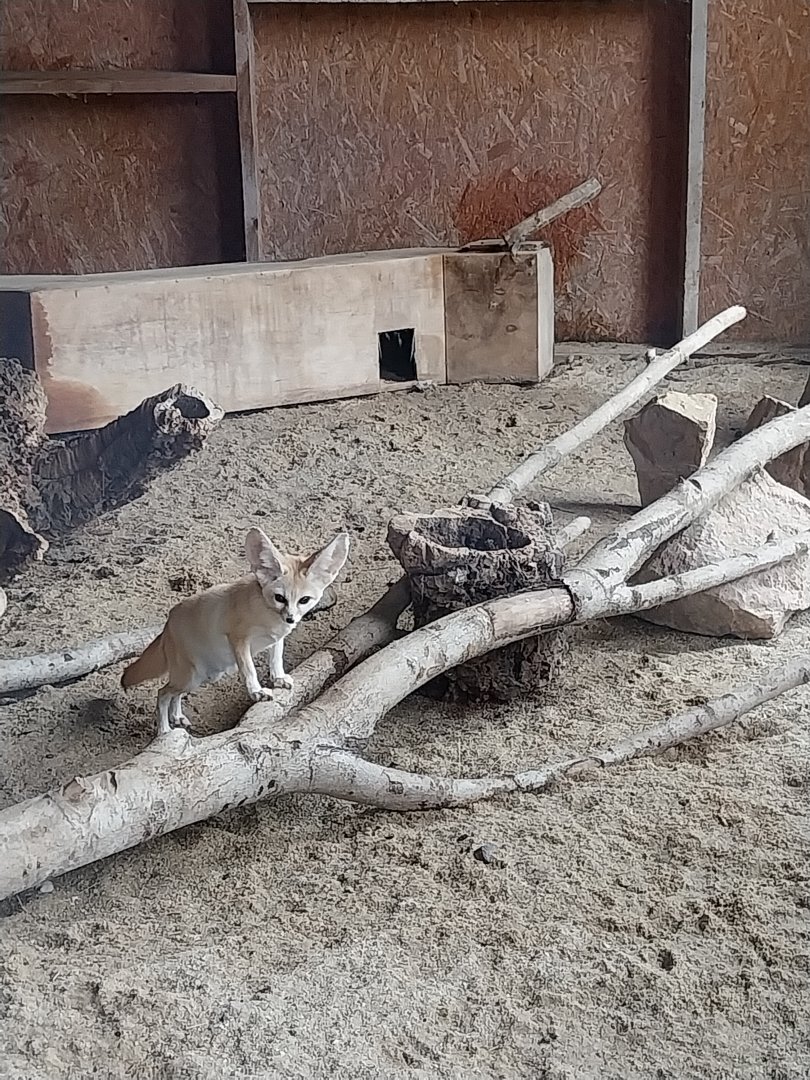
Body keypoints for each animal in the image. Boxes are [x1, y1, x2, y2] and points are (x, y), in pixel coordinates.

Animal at [121, 527, 350, 737]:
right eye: (279, 598)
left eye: (304, 600)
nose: (291, 619)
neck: (266, 613)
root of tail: (167, 625)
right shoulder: (238, 639)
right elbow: (249, 669)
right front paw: (256, 691)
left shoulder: (276, 639)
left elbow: (276, 659)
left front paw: (278, 678)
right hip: (191, 677)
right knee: (162, 693)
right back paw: (164, 730)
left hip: (201, 678)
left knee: (174, 694)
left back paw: (176, 716)